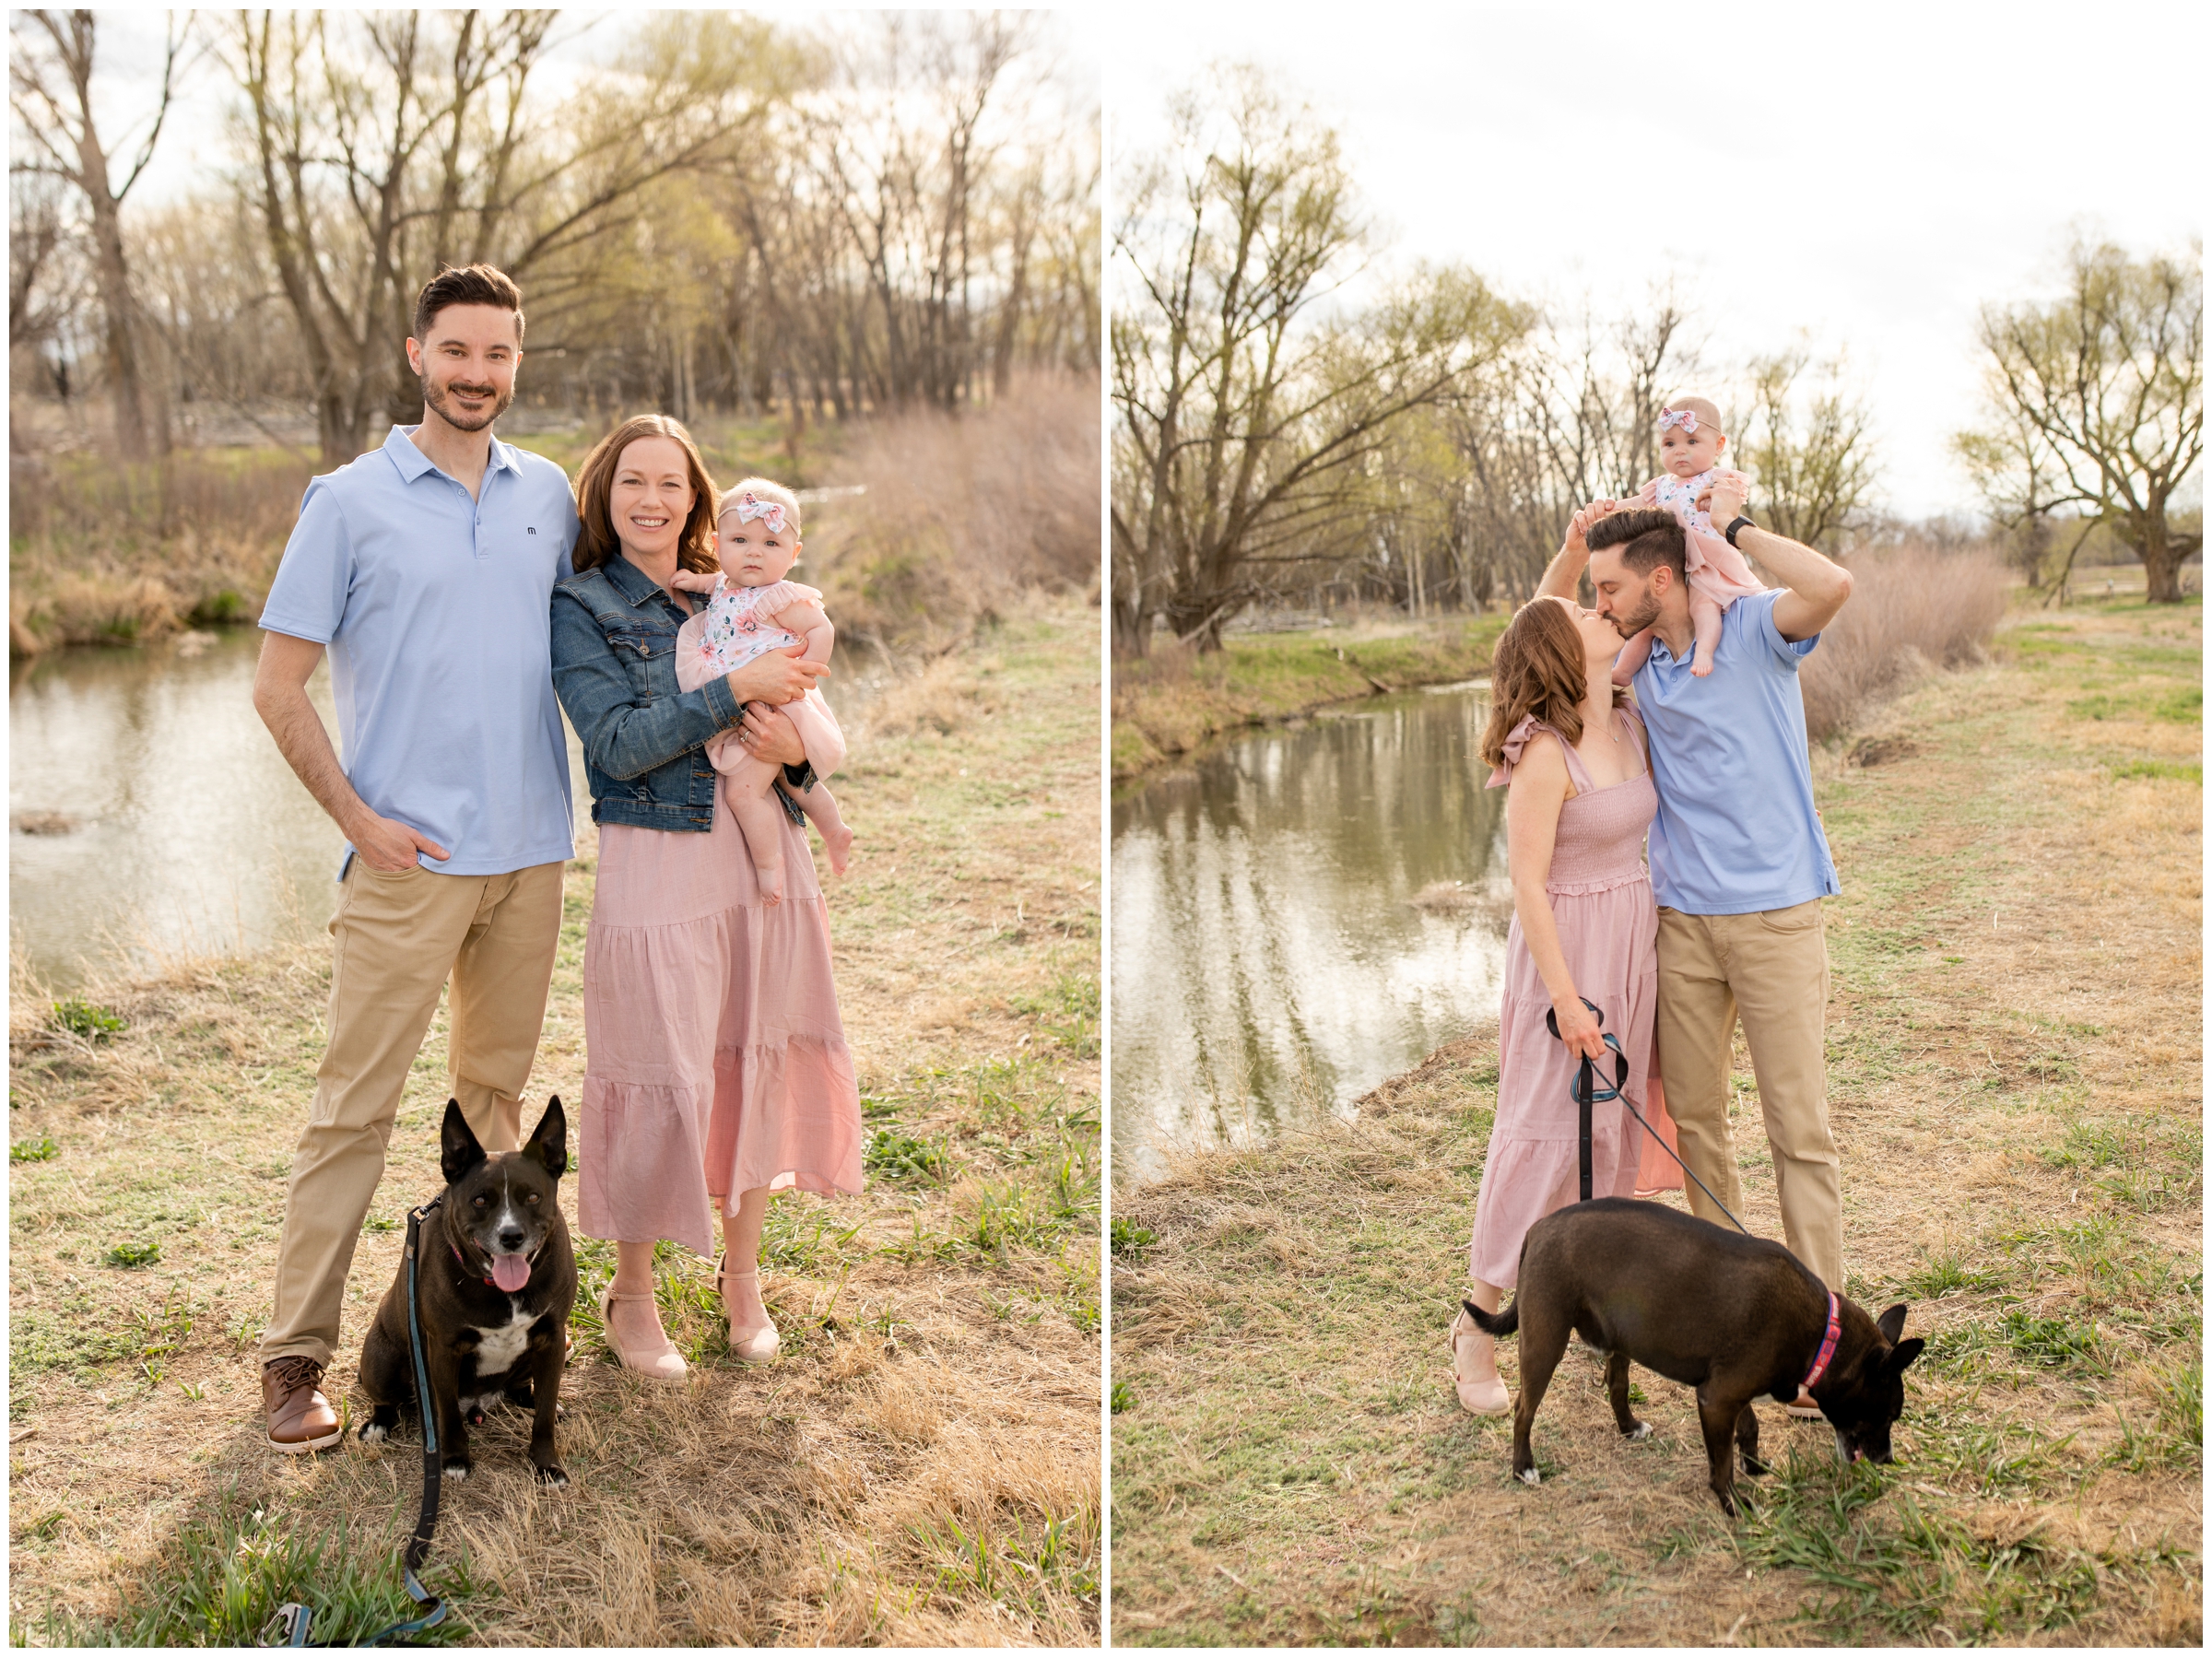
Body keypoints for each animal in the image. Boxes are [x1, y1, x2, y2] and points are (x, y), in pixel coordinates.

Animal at [358, 1097, 579, 1487]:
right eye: (479, 1201)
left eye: (533, 1196)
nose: (511, 1236)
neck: (501, 1290)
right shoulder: (443, 1350)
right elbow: (446, 1414)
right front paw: (455, 1460)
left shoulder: (552, 1339)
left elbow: (544, 1420)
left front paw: (546, 1464)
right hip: (380, 1359)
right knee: (388, 1400)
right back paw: (378, 1425)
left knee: (524, 1390)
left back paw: (537, 1399)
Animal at [1477, 1194, 1928, 1504]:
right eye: (1889, 1414)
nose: (1887, 1459)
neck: (1823, 1335)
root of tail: (1538, 1228)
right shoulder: (1717, 1399)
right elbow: (1721, 1465)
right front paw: (1733, 1504)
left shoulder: (1731, 1396)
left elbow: (1750, 1429)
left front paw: (1754, 1465)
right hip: (1544, 1344)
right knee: (1524, 1410)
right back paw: (1524, 1468)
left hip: (1621, 1339)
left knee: (1616, 1385)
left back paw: (1629, 1427)